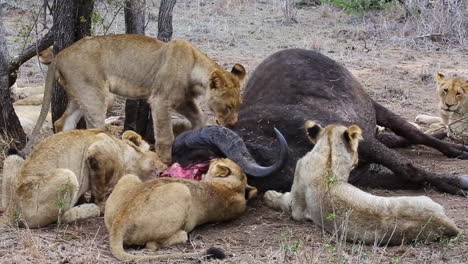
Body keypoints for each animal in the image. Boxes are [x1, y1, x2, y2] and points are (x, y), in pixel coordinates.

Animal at [0, 129, 166, 228]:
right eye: (158, 156)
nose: (166, 168)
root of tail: (11, 210)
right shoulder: (97, 151)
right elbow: (100, 189)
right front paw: (102, 204)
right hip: (68, 176)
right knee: (62, 217)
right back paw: (89, 208)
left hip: (13, 159)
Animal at [27, 34, 247, 164]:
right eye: (229, 107)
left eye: (239, 105)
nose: (233, 124)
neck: (194, 65)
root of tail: (59, 55)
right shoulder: (160, 100)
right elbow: (165, 136)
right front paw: (165, 163)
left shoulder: (183, 100)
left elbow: (200, 119)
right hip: (96, 95)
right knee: (92, 129)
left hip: (79, 95)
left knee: (62, 122)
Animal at [104, 158, 258, 260]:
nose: (212, 158)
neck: (234, 186)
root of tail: (120, 220)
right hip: (178, 188)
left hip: (138, 179)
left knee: (152, 244)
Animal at [172, 49, 468, 194]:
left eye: (196, 155)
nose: (170, 175)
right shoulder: (359, 174)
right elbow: (407, 178)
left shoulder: (362, 142)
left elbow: (409, 170)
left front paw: (455, 183)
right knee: (395, 138)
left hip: (377, 107)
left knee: (413, 134)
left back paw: (453, 147)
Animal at [266, 120, 458, 244]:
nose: (358, 160)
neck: (328, 157)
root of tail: (444, 223)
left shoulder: (298, 208)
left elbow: (284, 201)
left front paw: (269, 195)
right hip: (425, 199)